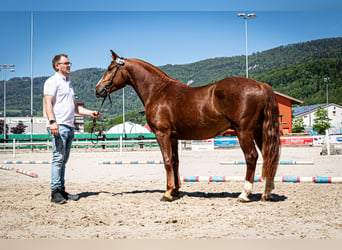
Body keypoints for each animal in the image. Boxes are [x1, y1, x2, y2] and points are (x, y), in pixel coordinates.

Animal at [94, 50, 280, 201]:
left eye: (110, 68)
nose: (98, 90)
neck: (158, 91)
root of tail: (261, 85)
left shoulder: (162, 134)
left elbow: (167, 160)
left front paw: (167, 193)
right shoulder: (174, 136)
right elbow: (175, 161)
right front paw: (176, 191)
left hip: (244, 132)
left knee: (251, 157)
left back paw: (244, 194)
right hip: (259, 131)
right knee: (268, 157)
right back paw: (267, 193)